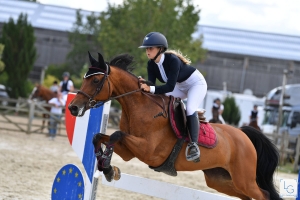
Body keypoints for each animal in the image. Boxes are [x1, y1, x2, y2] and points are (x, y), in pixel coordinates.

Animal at [67, 52, 282, 199]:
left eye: (96, 80)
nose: (73, 107)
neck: (139, 107)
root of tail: (244, 135)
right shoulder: (129, 151)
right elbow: (100, 137)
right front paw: (106, 166)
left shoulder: (148, 151)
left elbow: (115, 135)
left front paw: (108, 168)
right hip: (219, 179)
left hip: (244, 179)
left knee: (263, 195)